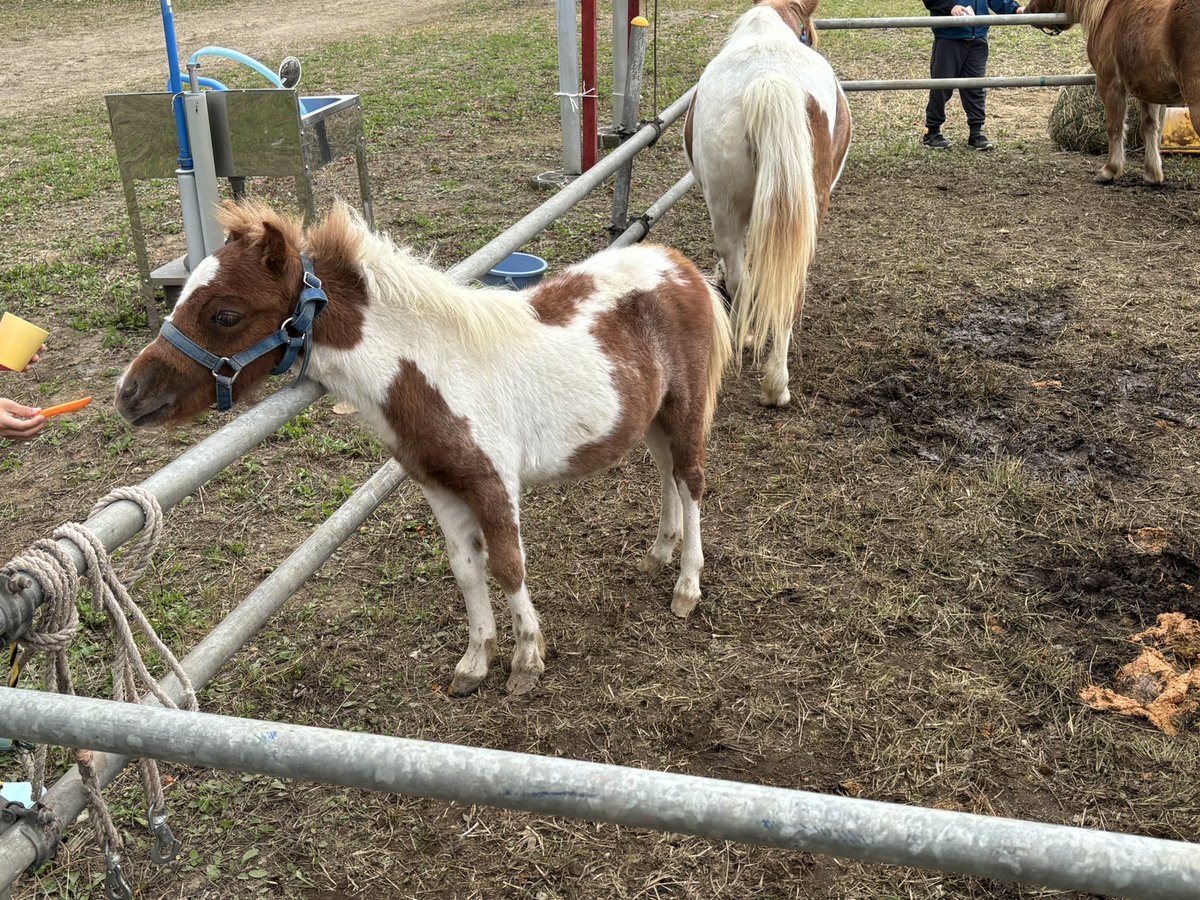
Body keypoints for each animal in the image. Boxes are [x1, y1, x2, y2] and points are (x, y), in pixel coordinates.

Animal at [115, 200, 733, 697]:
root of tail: (679, 265)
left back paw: (686, 586)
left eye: (225, 314)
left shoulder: (494, 484)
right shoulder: (438, 486)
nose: (129, 393)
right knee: (667, 473)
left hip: (685, 408)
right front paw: (474, 664)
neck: (430, 372)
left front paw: (526, 663)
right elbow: (466, 569)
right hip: (651, 416)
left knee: (692, 480)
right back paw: (659, 551)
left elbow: (508, 566)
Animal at [1025, 0, 1200, 184]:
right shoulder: (1148, 89)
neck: (1109, 10)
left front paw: (1110, 170)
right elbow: (1149, 127)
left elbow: (1115, 127)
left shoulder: (1109, 85)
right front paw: (1152, 174)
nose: (1029, 9)